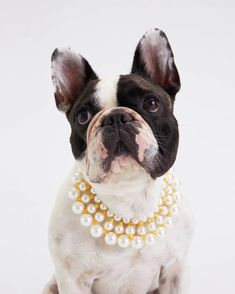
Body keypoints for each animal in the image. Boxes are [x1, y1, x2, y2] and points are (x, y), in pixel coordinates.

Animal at [43, 28, 194, 294]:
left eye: (151, 104)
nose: (115, 118)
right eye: (83, 116)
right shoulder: (72, 279)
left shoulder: (174, 270)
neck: (128, 195)